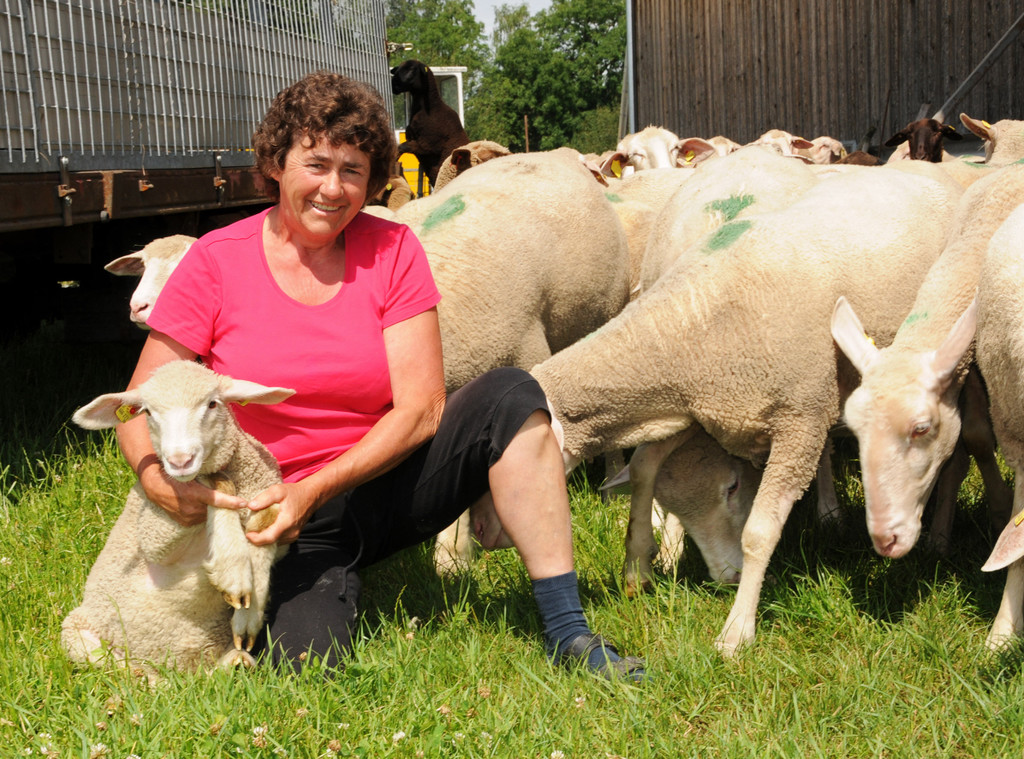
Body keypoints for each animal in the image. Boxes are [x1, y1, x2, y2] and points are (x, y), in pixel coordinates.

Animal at [64, 360, 293, 673]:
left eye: (212, 404)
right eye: (148, 412)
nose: (180, 461)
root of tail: (180, 671)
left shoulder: (274, 522)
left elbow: (265, 520)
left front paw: (249, 615)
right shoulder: (157, 530)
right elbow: (219, 482)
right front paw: (234, 572)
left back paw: (234, 661)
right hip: (76, 634)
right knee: (120, 668)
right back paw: (145, 677)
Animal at [391, 59, 470, 189]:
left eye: (412, 70)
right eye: (398, 69)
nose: (393, 84)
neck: (432, 109)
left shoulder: (427, 145)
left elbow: (401, 147)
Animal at [530, 164, 963, 655]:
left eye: (733, 488)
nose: (728, 578)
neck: (694, 319)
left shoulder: (799, 419)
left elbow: (759, 531)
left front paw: (737, 631)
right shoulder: (706, 409)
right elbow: (644, 466)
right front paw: (638, 566)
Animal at [830, 165, 1024, 560]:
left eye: (920, 429)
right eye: (855, 431)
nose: (885, 540)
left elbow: (975, 439)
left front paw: (1000, 511)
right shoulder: (964, 372)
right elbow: (969, 438)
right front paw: (940, 538)